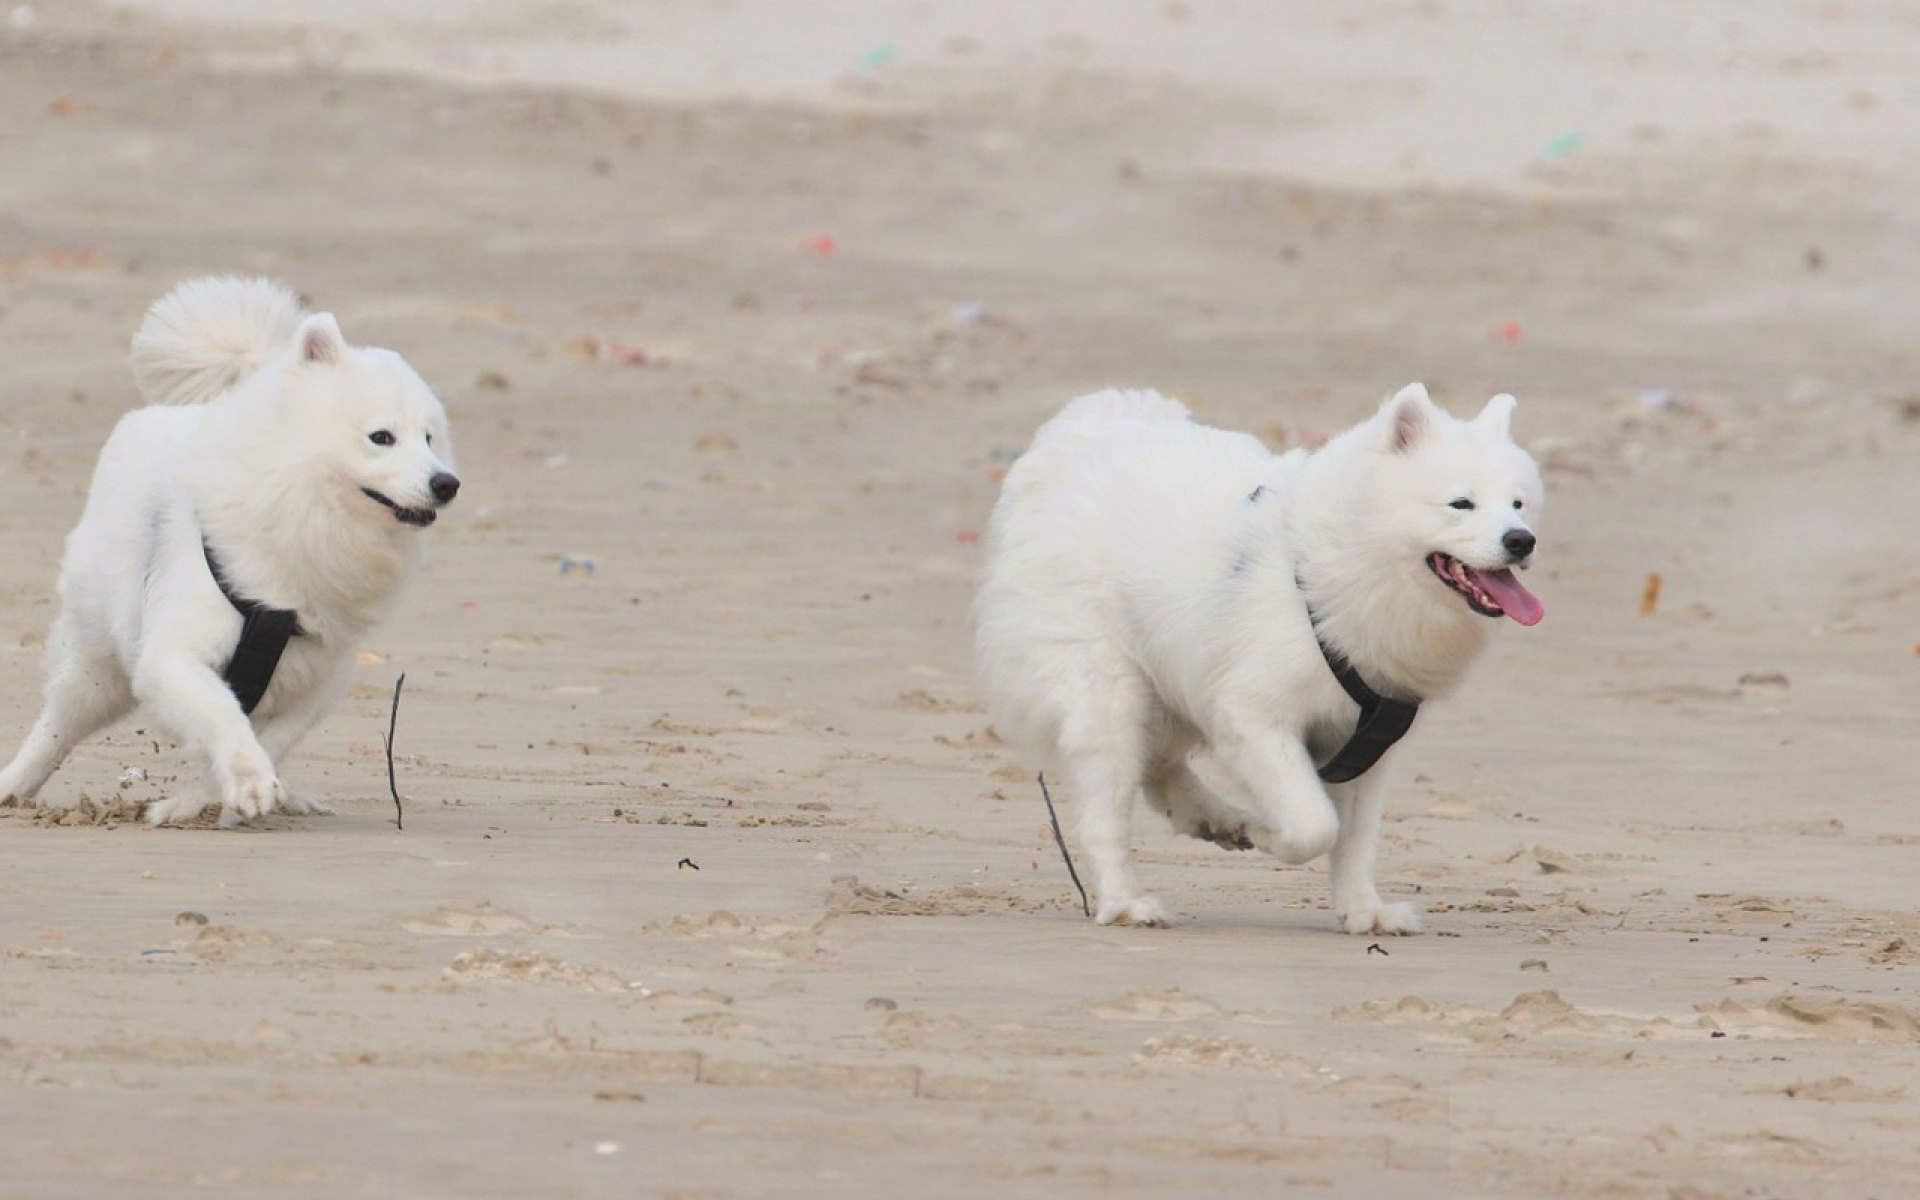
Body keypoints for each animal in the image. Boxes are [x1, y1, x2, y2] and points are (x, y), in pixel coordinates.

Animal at [0, 277, 459, 827]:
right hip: (96, 664)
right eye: (382, 437)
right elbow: (223, 715)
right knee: (57, 725)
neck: (304, 508)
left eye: (429, 438)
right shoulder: (174, 656)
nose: (447, 483)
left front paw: (208, 800)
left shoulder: (317, 682)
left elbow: (270, 740)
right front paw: (246, 782)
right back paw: (13, 785)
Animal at [973, 384, 1543, 932]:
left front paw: (1364, 912)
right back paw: (1128, 901)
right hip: (1108, 694)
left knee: (1158, 764)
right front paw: (1270, 834)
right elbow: (1317, 825)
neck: (1344, 567)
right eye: (1461, 503)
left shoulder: (1366, 744)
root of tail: (1077, 433)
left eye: (1517, 504)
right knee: (1105, 812)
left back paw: (1212, 817)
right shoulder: (1255, 717)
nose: (1522, 540)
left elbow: (1356, 842)